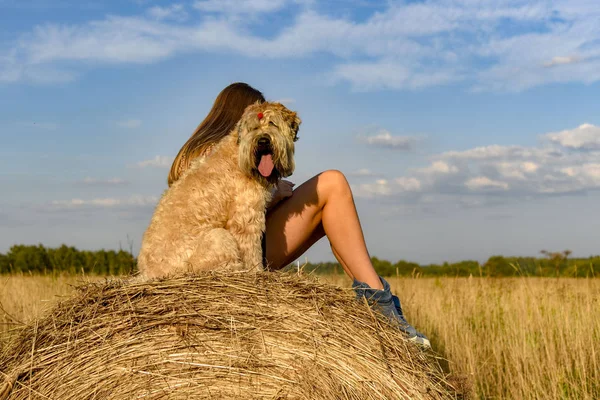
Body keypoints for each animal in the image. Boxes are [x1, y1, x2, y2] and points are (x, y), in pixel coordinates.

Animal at [139, 102, 302, 278]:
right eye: (253, 127)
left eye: (273, 123)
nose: (263, 141)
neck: (239, 154)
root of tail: (147, 274)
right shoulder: (246, 216)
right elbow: (252, 250)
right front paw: (256, 271)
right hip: (218, 238)